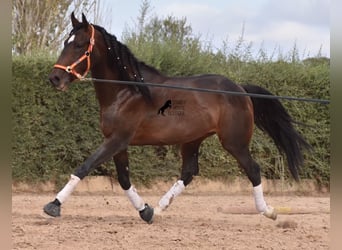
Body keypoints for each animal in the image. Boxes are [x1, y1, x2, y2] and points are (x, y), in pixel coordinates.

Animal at [44, 12, 308, 224]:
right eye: (66, 42)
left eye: (79, 44)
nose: (55, 78)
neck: (127, 92)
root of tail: (241, 90)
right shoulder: (117, 143)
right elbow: (124, 179)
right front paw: (145, 211)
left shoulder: (117, 139)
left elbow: (84, 167)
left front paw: (53, 206)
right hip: (192, 140)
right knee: (189, 172)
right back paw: (160, 207)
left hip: (234, 142)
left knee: (253, 169)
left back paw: (269, 211)